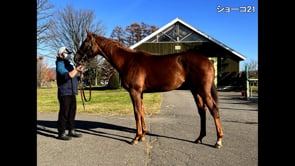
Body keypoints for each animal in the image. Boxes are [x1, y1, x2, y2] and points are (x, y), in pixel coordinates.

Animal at [74, 30, 224, 148]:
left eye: (85, 43)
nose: (76, 59)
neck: (128, 61)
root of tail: (208, 61)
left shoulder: (134, 92)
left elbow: (136, 113)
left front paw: (136, 138)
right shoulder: (140, 93)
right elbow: (141, 111)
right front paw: (143, 135)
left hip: (203, 91)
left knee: (214, 110)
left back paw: (218, 141)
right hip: (195, 91)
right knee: (202, 111)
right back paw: (199, 138)